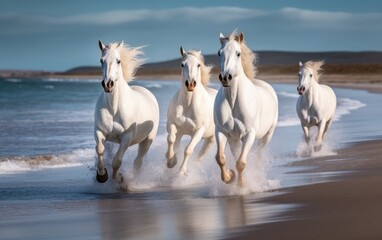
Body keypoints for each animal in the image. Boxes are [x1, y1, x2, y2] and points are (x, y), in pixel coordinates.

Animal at [95, 40, 159, 184]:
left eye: (118, 61)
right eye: (101, 60)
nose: (108, 84)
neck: (114, 109)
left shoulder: (126, 138)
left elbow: (117, 161)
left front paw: (119, 178)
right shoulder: (99, 131)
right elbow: (100, 150)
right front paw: (101, 175)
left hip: (147, 141)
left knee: (138, 162)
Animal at [165, 46, 216, 174]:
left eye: (198, 65)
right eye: (182, 64)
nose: (190, 84)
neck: (188, 105)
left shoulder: (198, 131)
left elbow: (188, 150)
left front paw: (181, 172)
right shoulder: (172, 124)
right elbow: (171, 139)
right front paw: (171, 161)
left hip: (212, 139)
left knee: (201, 156)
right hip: (181, 132)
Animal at [215, 31, 278, 187]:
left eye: (238, 53)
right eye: (219, 53)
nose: (225, 77)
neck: (233, 101)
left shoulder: (249, 134)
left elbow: (241, 163)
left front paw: (242, 185)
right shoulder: (221, 131)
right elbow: (221, 158)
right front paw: (229, 177)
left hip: (266, 136)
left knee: (259, 155)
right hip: (234, 140)